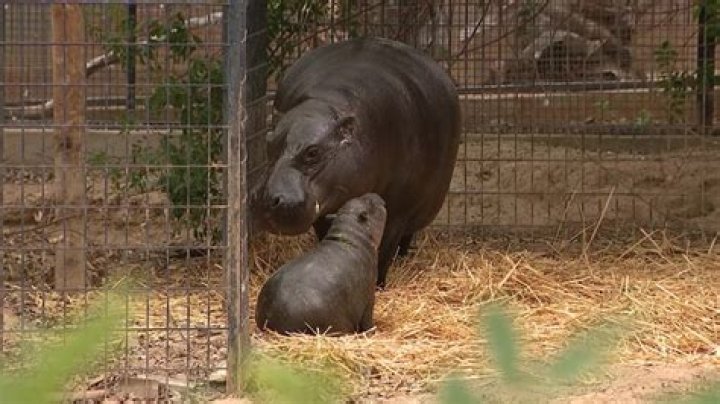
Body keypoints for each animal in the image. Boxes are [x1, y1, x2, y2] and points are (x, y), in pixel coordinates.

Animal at [252, 37, 461, 287]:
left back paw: (403, 257)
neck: (328, 102)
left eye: (312, 152)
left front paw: (378, 284)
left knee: (405, 237)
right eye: (269, 143)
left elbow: (384, 249)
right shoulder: (324, 207)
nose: (266, 199)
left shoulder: (397, 210)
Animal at [255, 193, 387, 335]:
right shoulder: (369, 295)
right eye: (370, 203)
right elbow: (368, 321)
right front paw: (373, 332)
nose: (375, 194)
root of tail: (269, 323)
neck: (351, 235)